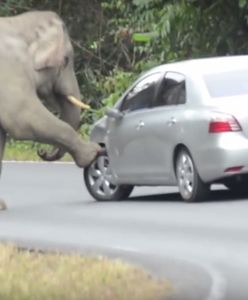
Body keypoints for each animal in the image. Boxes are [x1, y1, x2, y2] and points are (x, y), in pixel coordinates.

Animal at [0, 10, 101, 207]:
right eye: (66, 59)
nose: (43, 151)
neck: (19, 23)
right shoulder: (9, 70)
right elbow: (23, 119)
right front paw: (92, 153)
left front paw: (2, 206)